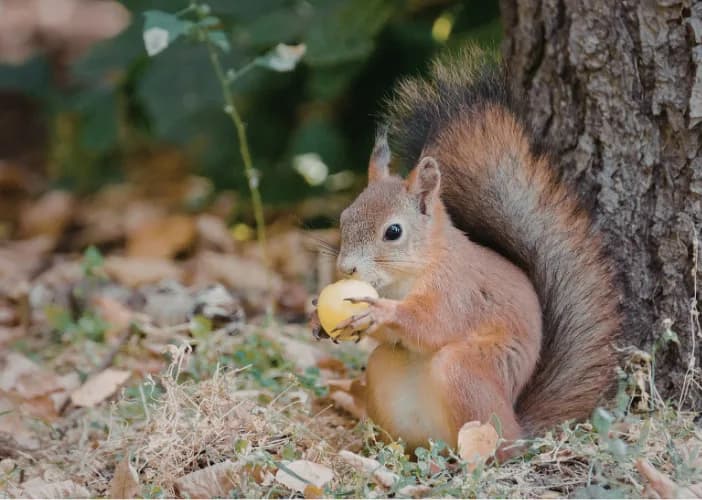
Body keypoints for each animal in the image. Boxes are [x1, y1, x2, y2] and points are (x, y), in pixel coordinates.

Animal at [310, 48, 620, 456]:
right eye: (345, 217)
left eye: (393, 232)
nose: (346, 268)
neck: (410, 273)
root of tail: (520, 430)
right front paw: (316, 316)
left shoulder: (456, 289)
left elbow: (431, 324)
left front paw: (380, 312)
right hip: (384, 371)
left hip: (467, 373)